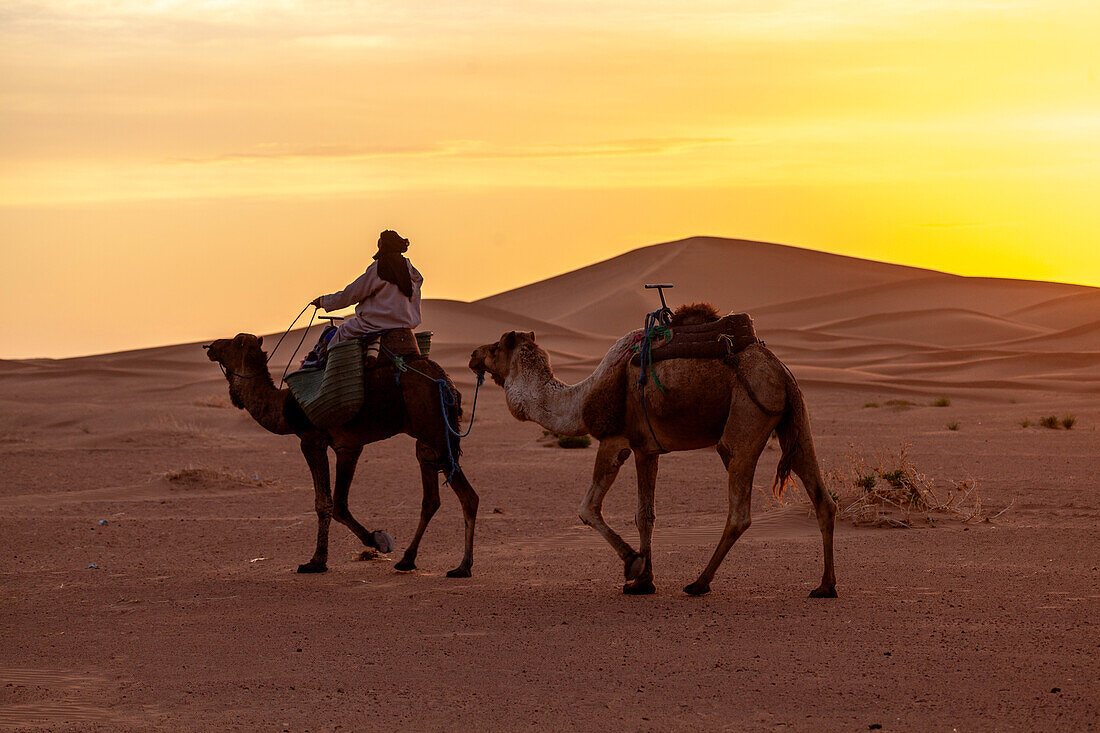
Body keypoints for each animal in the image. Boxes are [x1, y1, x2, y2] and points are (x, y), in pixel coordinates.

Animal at [206, 332, 477, 576]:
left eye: (233, 342)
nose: (210, 346)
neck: (284, 407)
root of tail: (446, 383)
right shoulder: (349, 447)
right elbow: (340, 504)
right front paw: (377, 540)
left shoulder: (311, 440)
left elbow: (324, 502)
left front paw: (316, 561)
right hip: (427, 441)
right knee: (431, 498)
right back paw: (407, 560)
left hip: (435, 431)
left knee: (468, 496)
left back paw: (462, 567)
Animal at [468, 305, 836, 598]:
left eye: (496, 346)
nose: (472, 355)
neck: (581, 398)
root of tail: (780, 371)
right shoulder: (647, 449)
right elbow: (645, 514)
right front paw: (644, 581)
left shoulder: (614, 439)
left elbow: (588, 509)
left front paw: (633, 563)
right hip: (795, 420)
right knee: (821, 496)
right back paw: (825, 586)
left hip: (747, 417)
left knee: (739, 509)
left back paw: (699, 583)